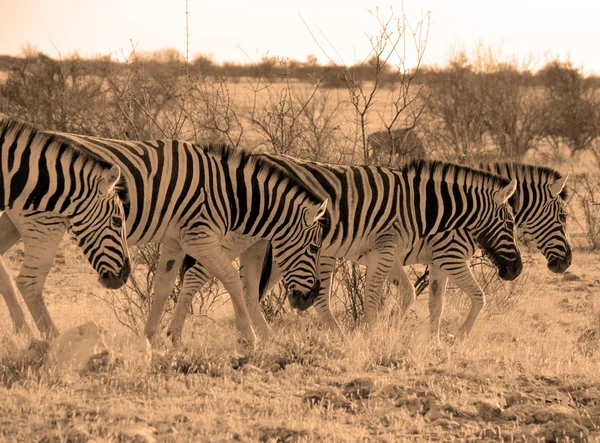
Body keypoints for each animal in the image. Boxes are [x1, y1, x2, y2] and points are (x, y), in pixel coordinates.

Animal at [164, 159, 520, 344]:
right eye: (509, 222)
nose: (516, 270)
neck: (427, 208)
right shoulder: (442, 254)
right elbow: (475, 297)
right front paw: (374, 333)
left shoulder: (395, 253)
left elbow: (422, 298)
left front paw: (411, 334)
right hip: (246, 237)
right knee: (197, 275)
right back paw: (175, 334)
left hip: (269, 247)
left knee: (252, 289)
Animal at [390, 162, 572, 340]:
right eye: (563, 216)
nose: (568, 262)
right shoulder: (450, 256)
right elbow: (479, 298)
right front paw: (457, 338)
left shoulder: (438, 262)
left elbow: (436, 304)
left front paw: (434, 343)